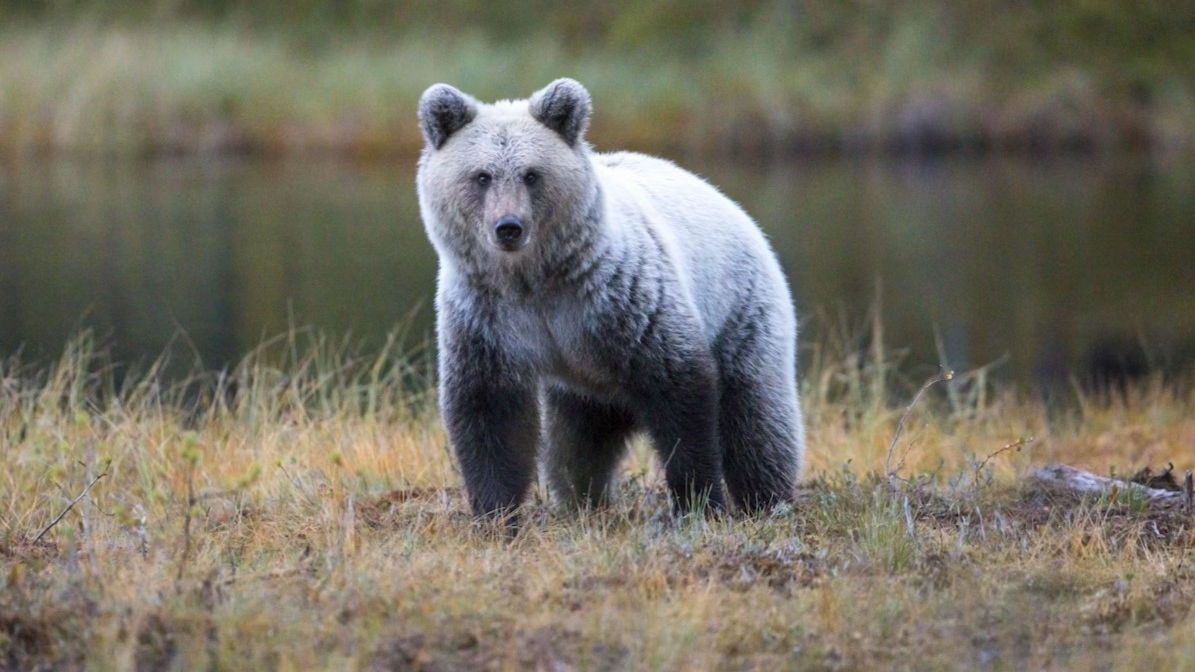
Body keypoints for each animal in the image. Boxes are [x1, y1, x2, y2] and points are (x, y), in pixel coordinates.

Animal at [415, 77, 807, 518]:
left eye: (532, 174)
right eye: (482, 176)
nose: (508, 227)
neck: (535, 280)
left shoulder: (621, 299)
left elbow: (680, 391)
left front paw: (698, 501)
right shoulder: (489, 317)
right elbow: (489, 411)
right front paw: (496, 512)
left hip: (741, 308)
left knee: (757, 416)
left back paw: (767, 500)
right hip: (584, 383)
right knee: (575, 444)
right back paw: (583, 499)